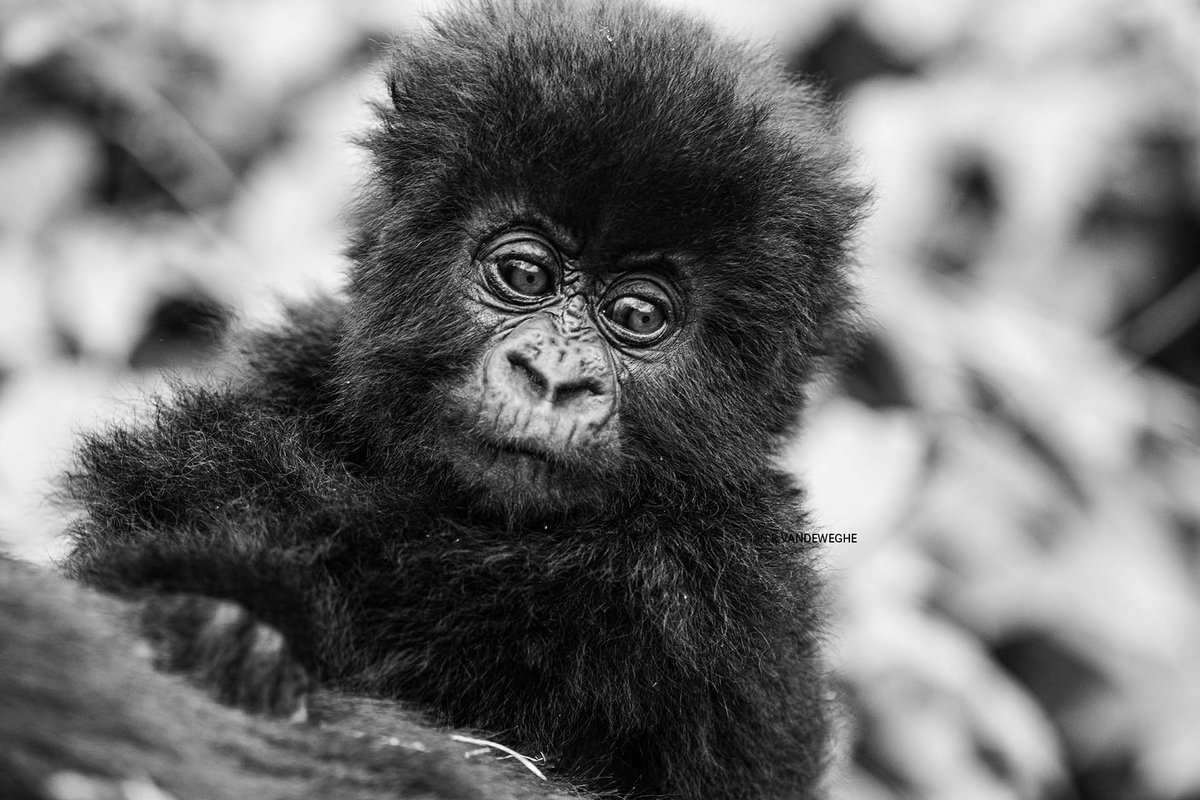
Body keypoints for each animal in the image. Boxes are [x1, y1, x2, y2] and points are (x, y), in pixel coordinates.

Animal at [58, 1, 864, 800]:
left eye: (638, 315)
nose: (552, 379)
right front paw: (222, 620)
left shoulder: (745, 606)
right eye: (525, 272)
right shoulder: (287, 371)